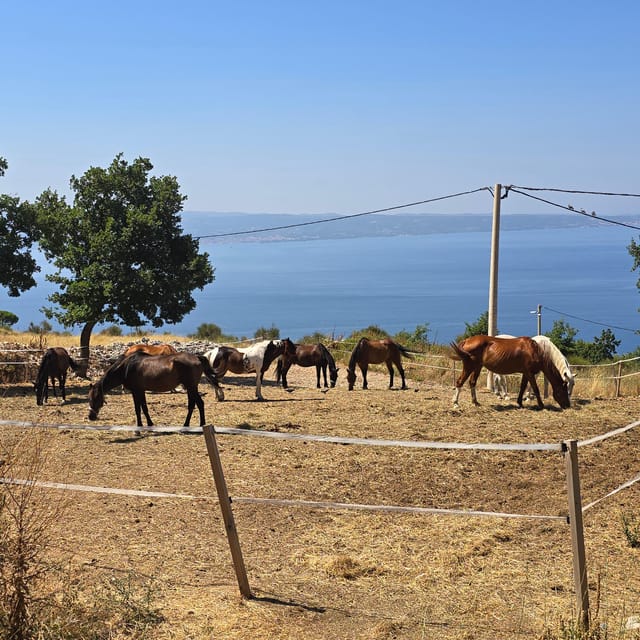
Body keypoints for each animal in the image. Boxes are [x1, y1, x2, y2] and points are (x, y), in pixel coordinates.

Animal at [87, 352, 222, 428]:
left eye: (96, 397)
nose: (90, 417)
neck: (126, 367)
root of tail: (197, 357)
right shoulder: (141, 391)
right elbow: (144, 408)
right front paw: (149, 424)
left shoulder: (136, 391)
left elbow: (138, 409)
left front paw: (140, 425)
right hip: (191, 388)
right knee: (194, 404)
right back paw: (190, 424)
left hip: (191, 387)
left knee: (198, 403)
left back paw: (197, 424)